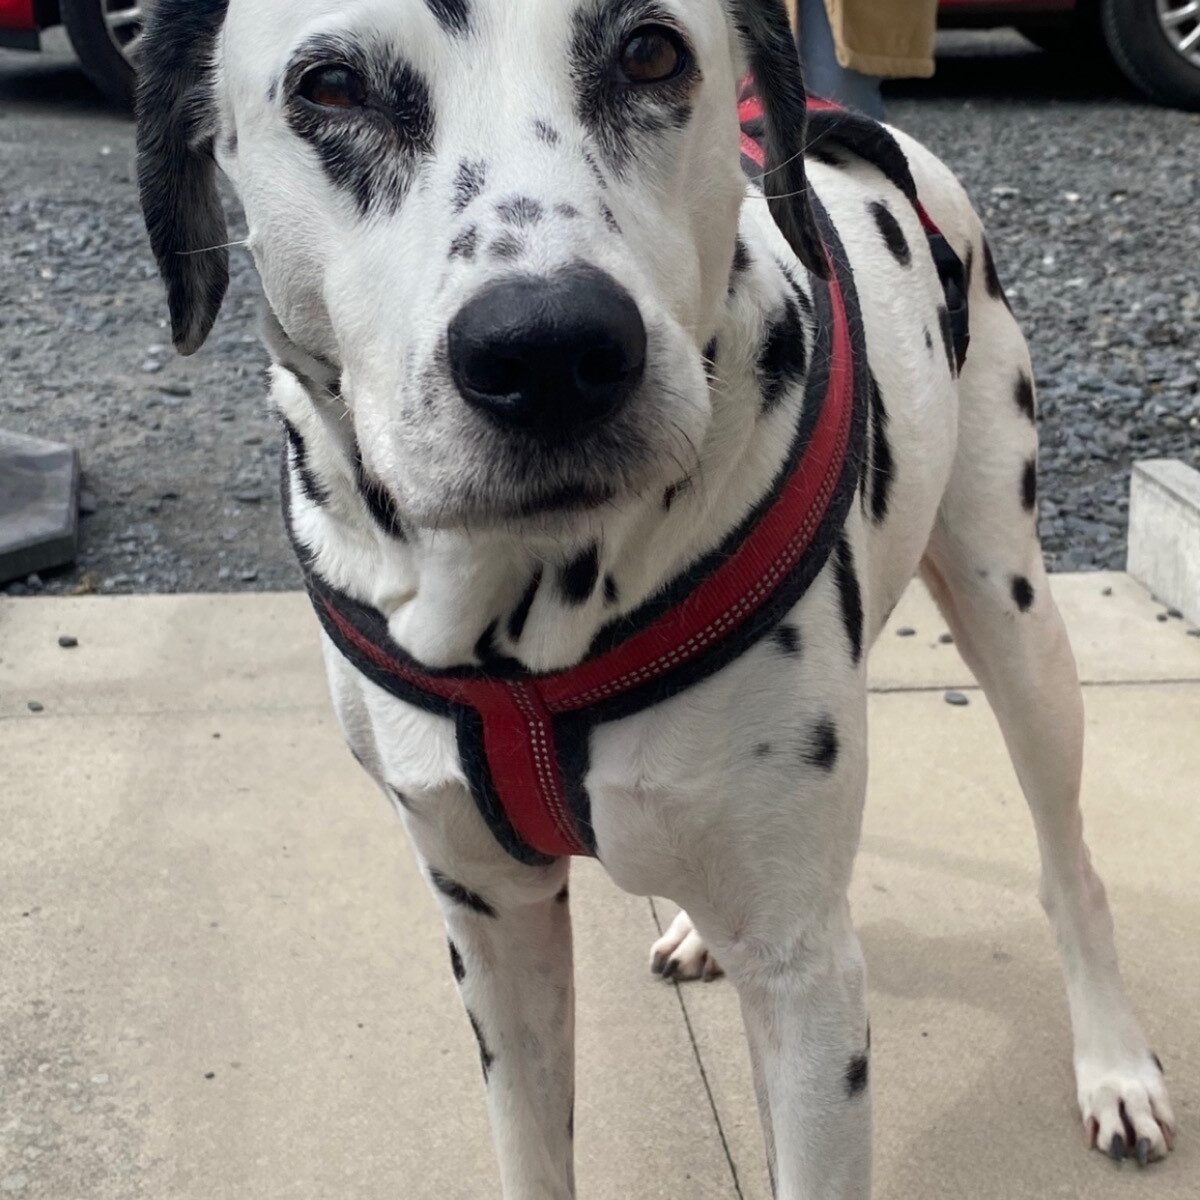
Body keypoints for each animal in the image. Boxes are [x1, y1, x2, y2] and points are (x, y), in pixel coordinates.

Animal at [134, 0, 1176, 1193]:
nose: (549, 350)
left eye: (650, 51)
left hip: (1015, 610)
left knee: (1069, 862)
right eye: (333, 87)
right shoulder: (493, 927)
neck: (526, 627)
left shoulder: (809, 983)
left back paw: (1114, 1064)